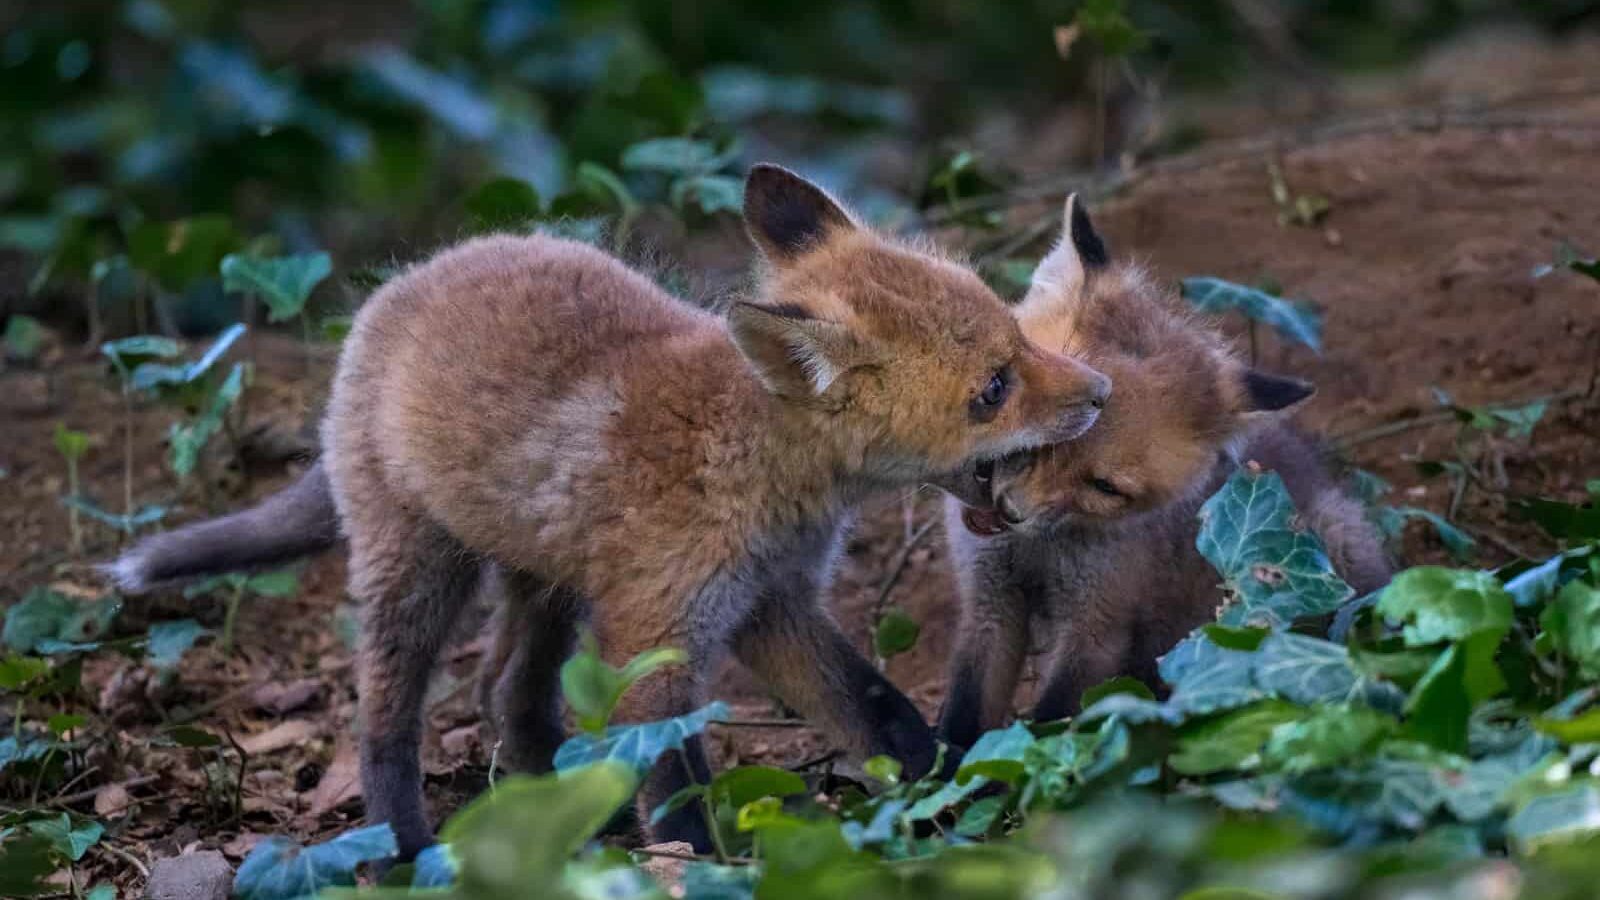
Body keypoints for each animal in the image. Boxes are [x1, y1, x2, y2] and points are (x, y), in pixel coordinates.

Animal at [106, 165, 1111, 858]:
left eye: (1018, 336)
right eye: (993, 389)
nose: (1101, 392)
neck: (754, 465)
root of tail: (396, 289)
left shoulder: (770, 604)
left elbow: (878, 708)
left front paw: (947, 791)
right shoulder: (654, 633)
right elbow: (677, 784)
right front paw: (697, 864)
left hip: (550, 580)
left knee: (509, 693)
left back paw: (562, 815)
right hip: (420, 573)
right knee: (386, 715)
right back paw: (404, 848)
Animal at [934, 197, 1392, 751]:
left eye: (1105, 486)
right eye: (1046, 432)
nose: (1010, 511)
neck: (1039, 549)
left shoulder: (1099, 626)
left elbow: (1052, 730)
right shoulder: (988, 602)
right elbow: (962, 720)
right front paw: (939, 771)